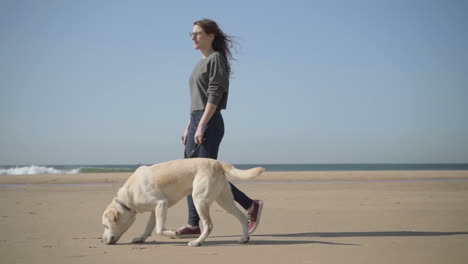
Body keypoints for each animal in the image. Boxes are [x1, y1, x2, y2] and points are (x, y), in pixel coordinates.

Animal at [101, 158, 264, 246]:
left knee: (208, 225)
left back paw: (197, 242)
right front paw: (141, 238)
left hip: (199, 200)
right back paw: (244, 238)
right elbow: (149, 228)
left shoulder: (162, 203)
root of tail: (216, 162)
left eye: (105, 225)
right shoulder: (155, 210)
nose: (102, 241)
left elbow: (159, 229)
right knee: (241, 217)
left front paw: (174, 234)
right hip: (224, 200)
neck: (128, 197)